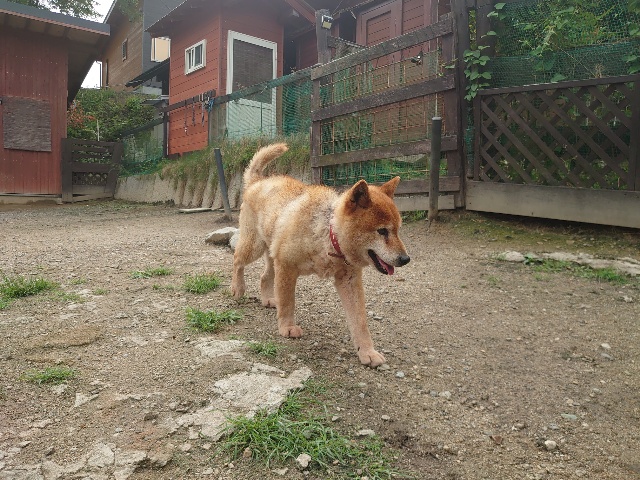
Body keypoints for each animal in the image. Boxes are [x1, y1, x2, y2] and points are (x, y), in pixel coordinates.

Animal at [231, 143, 410, 367]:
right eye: (382, 231)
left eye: (398, 230)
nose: (405, 259)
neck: (328, 234)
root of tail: (258, 181)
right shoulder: (287, 267)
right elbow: (288, 303)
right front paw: (287, 327)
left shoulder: (349, 281)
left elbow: (359, 321)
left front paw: (367, 351)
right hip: (254, 247)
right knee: (237, 261)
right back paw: (238, 288)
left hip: (273, 256)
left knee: (265, 277)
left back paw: (269, 298)